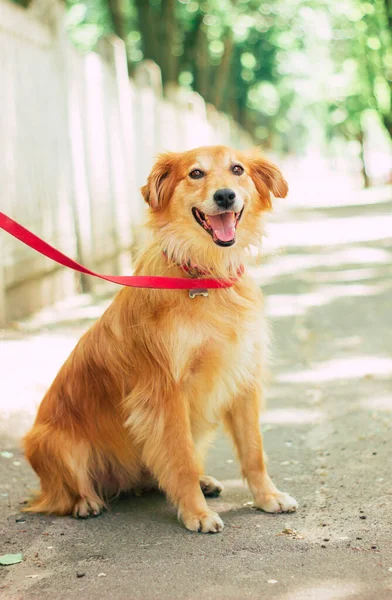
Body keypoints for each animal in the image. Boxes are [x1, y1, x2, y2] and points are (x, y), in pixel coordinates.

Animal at [23, 146, 298, 536]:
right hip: (48, 441)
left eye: (237, 169)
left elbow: (253, 451)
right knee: (63, 493)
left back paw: (202, 482)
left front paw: (267, 497)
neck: (204, 275)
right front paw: (196, 514)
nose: (225, 196)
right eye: (195, 173)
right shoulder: (165, 392)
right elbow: (181, 459)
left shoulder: (244, 377)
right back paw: (86, 502)